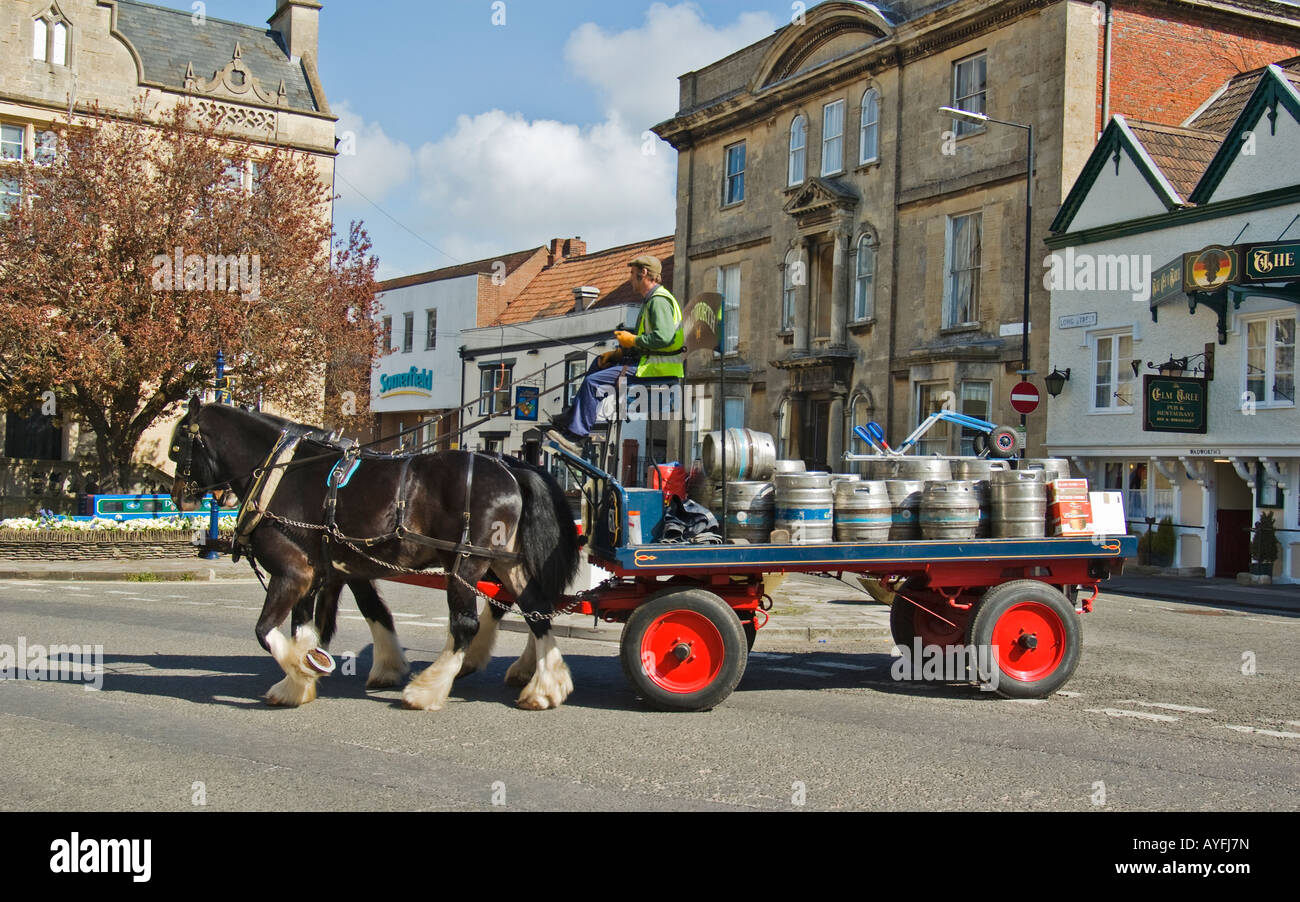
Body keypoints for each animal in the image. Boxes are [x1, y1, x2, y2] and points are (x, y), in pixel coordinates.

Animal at [167, 402, 579, 712]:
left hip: (465, 562)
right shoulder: (331, 570)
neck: (284, 472)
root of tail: (510, 468)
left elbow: (266, 631)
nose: (179, 498)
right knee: (536, 608)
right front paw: (308, 679)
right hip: (505, 561)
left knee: (466, 624)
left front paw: (300, 673)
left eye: (177, 446)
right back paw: (545, 687)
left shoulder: (293, 571)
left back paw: (428, 690)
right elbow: (343, 618)